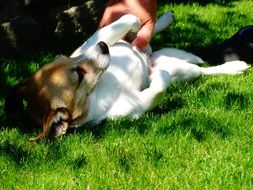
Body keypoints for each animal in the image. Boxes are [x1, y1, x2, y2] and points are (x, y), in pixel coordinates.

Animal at [4, 11, 251, 140]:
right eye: (79, 74)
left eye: (66, 57)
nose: (104, 47)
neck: (100, 88)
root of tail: (152, 57)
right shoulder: (137, 106)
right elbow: (158, 89)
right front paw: (158, 77)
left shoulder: (94, 41)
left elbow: (128, 17)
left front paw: (136, 25)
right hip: (184, 71)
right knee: (203, 70)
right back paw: (235, 66)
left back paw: (162, 20)